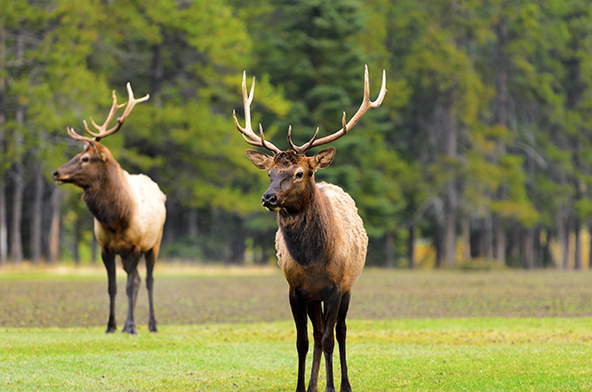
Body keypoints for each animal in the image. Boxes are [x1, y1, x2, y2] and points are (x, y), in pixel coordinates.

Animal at [51, 82, 166, 334]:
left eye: (85, 158)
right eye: (77, 154)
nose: (56, 172)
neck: (117, 218)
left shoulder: (135, 245)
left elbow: (130, 286)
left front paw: (131, 326)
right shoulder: (106, 248)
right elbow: (112, 287)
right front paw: (112, 325)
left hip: (154, 244)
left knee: (149, 281)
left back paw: (152, 324)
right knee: (138, 279)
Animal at [234, 66, 386, 390]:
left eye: (300, 173)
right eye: (270, 173)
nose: (268, 198)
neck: (313, 260)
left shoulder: (336, 287)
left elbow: (330, 339)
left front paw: (331, 385)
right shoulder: (296, 289)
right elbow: (303, 341)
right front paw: (303, 386)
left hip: (349, 286)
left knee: (340, 331)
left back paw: (344, 383)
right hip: (314, 298)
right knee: (316, 334)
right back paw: (315, 383)